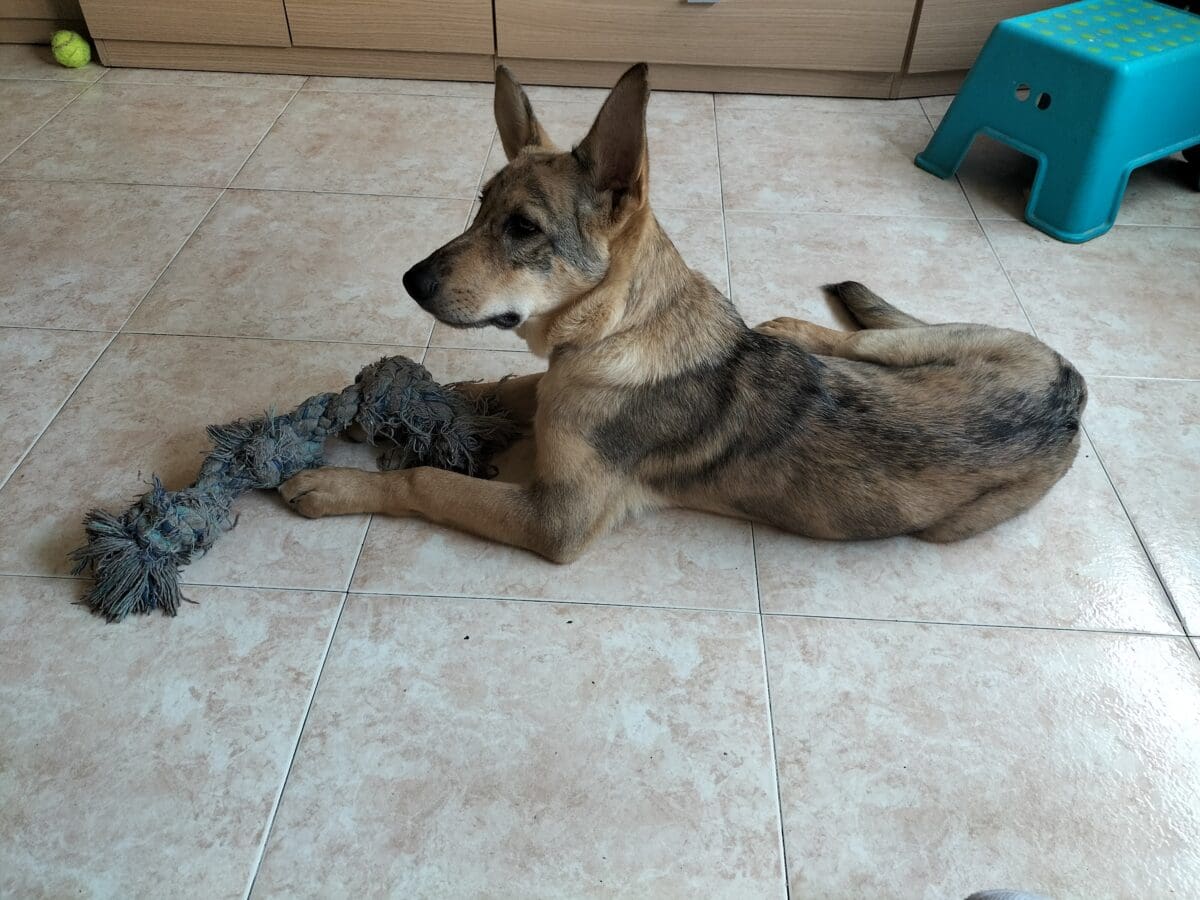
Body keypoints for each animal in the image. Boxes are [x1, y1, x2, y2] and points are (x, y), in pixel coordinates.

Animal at [279, 63, 1086, 561]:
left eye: (523, 229)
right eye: (478, 209)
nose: (409, 280)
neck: (618, 331)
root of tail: (1072, 390)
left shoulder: (555, 519)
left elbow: (431, 483)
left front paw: (339, 484)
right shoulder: (553, 393)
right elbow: (501, 389)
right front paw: (425, 398)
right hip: (913, 348)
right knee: (850, 338)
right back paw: (784, 327)